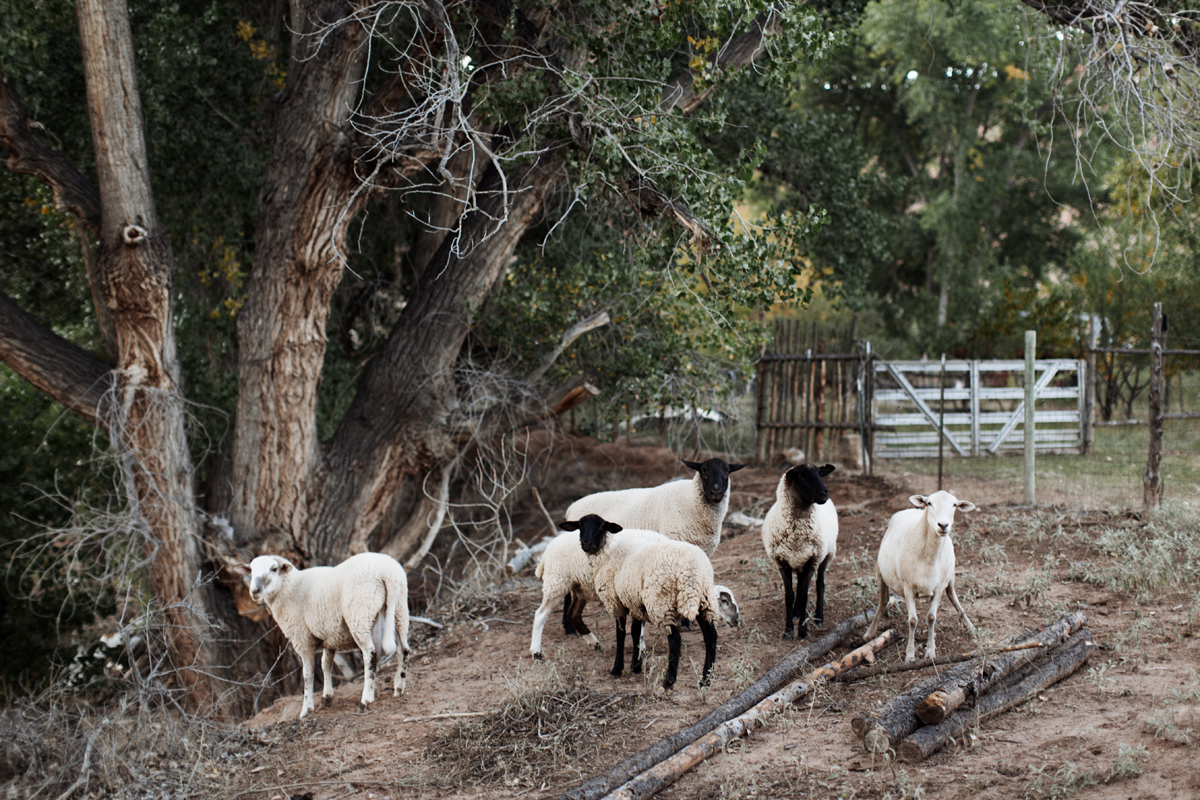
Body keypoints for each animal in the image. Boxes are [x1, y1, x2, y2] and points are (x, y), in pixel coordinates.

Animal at [236, 551, 410, 719]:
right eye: (251, 570)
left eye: (273, 569)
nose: (255, 591)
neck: (290, 589)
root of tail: (388, 575)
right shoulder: (330, 636)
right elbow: (326, 665)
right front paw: (327, 698)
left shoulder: (302, 639)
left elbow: (308, 674)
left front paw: (306, 710)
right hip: (400, 610)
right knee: (404, 649)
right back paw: (399, 688)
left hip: (360, 613)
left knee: (370, 655)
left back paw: (365, 700)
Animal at [556, 460, 744, 642]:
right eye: (703, 470)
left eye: (727, 470)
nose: (716, 491)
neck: (691, 500)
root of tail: (571, 507)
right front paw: (685, 622)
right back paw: (569, 628)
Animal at [564, 515, 739, 690]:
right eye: (580, 526)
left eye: (601, 526)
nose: (586, 544)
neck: (608, 553)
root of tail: (692, 570)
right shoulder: (634, 601)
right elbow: (635, 632)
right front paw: (636, 666)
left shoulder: (615, 601)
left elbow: (621, 634)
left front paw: (617, 668)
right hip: (704, 601)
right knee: (711, 636)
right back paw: (705, 680)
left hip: (662, 603)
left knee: (675, 640)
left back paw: (668, 682)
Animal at [763, 462, 840, 638]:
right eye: (801, 476)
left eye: (819, 473)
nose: (825, 492)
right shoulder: (782, 562)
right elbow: (789, 595)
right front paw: (788, 630)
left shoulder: (812, 561)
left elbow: (805, 594)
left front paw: (803, 631)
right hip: (798, 560)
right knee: (799, 585)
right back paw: (797, 612)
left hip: (827, 555)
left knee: (820, 583)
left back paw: (818, 618)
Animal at [868, 494, 979, 662]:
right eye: (929, 503)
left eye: (954, 505)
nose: (943, 525)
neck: (929, 558)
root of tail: (913, 509)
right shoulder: (907, 586)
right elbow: (912, 620)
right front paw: (910, 655)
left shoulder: (939, 586)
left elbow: (932, 617)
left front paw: (931, 651)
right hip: (880, 572)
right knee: (882, 602)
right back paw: (870, 632)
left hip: (950, 576)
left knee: (953, 597)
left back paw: (970, 627)